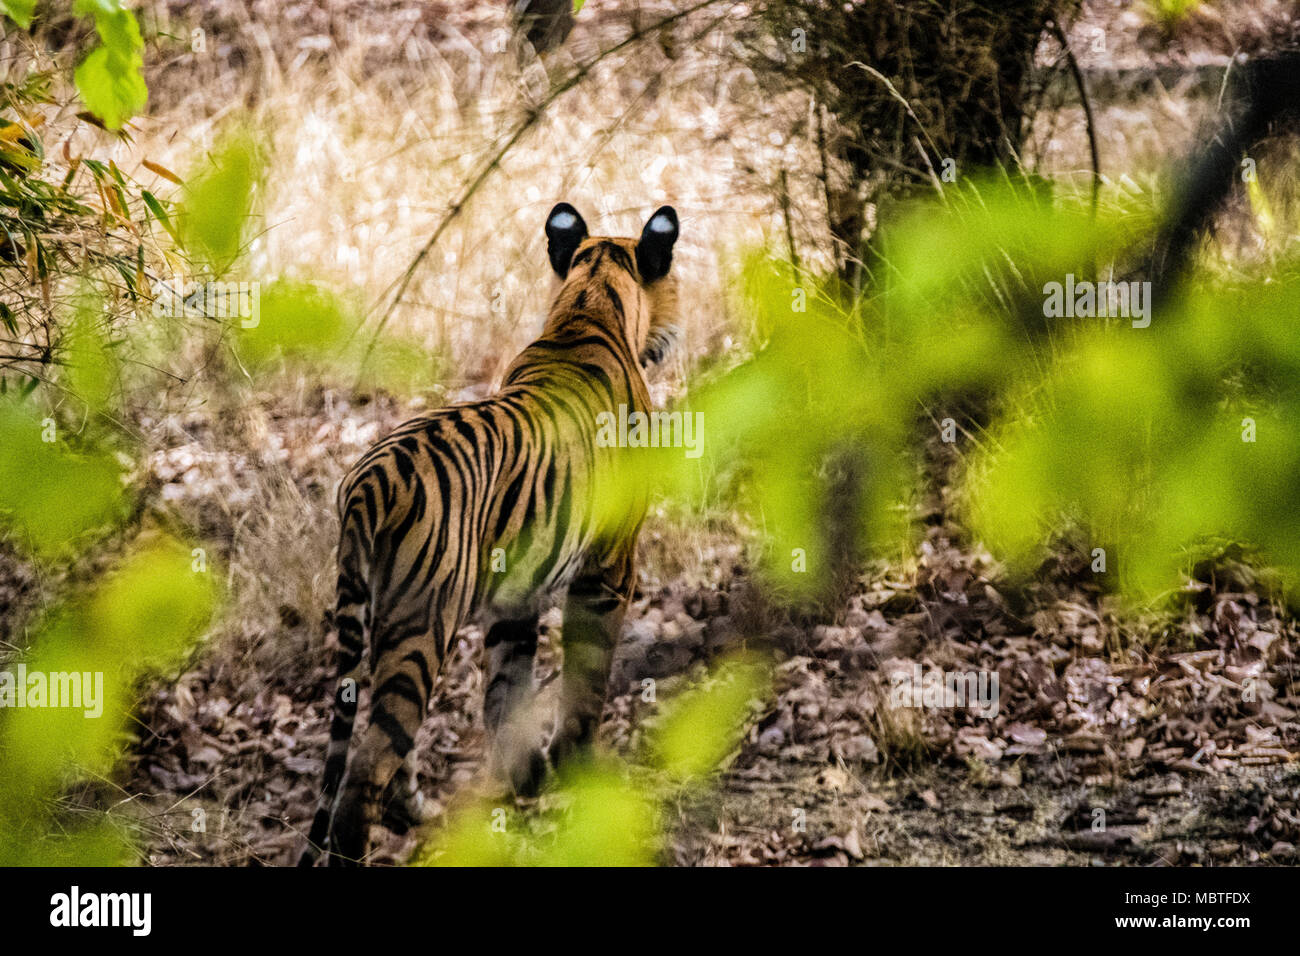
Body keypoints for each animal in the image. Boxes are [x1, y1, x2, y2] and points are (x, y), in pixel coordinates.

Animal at [296, 201, 681, 868]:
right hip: (422, 627)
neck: (589, 303)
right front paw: (577, 772)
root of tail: (369, 481)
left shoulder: (515, 591)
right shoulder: (608, 571)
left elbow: (508, 691)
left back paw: (417, 809)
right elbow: (585, 682)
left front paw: (524, 782)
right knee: (366, 767)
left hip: (382, 617)